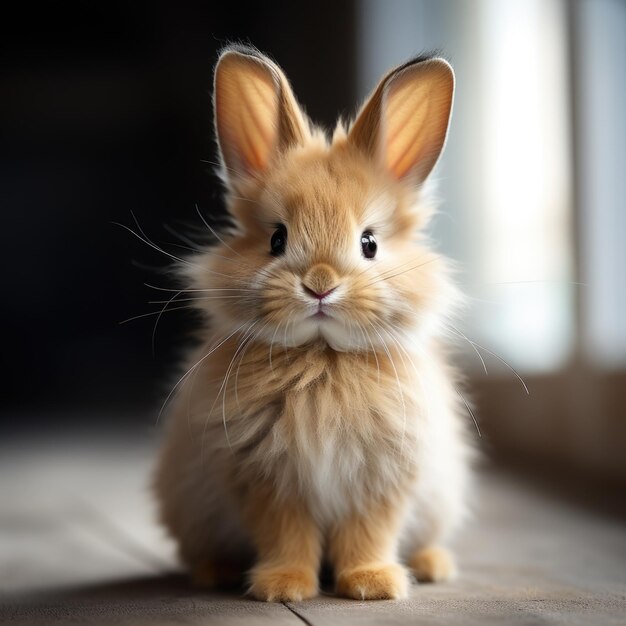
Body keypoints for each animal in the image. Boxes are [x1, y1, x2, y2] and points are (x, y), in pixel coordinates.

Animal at [154, 44, 470, 600]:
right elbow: (286, 535)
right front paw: (283, 586)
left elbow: (368, 533)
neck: (322, 356)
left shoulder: (382, 480)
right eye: (276, 239)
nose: (320, 284)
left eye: (369, 243)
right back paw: (215, 573)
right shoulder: (266, 480)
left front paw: (372, 584)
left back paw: (432, 565)